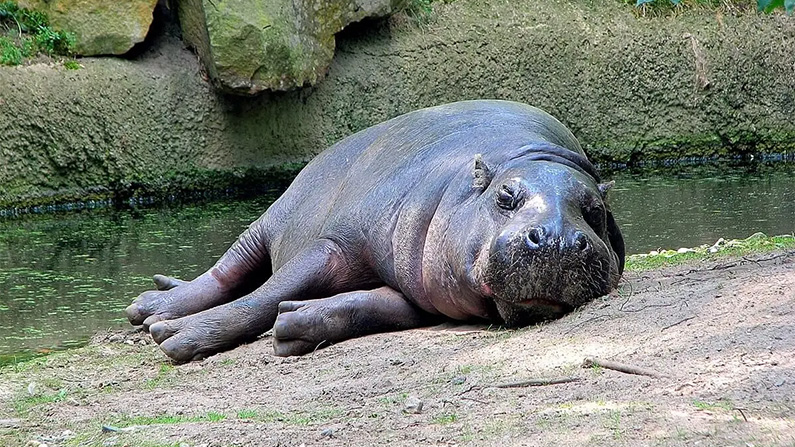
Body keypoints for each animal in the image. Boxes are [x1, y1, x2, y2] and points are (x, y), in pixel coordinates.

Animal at [124, 100, 624, 362]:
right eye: (506, 197)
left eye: (595, 211)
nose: (557, 238)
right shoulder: (331, 246)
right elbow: (262, 297)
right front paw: (173, 337)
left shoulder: (420, 290)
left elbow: (367, 307)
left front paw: (295, 323)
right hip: (266, 222)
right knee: (228, 272)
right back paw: (151, 307)